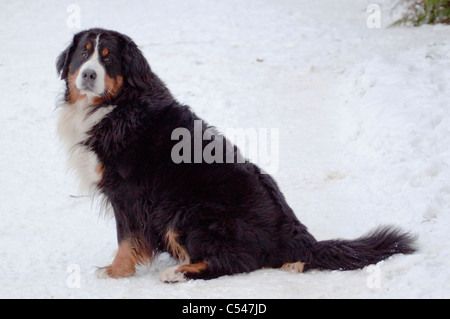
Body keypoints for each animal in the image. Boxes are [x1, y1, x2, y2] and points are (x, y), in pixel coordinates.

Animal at [55, 28, 414, 282]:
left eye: (108, 58)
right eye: (83, 54)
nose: (88, 74)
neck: (116, 106)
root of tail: (294, 233)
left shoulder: (128, 194)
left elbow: (126, 240)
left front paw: (115, 272)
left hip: (185, 212)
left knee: (237, 262)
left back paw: (177, 272)